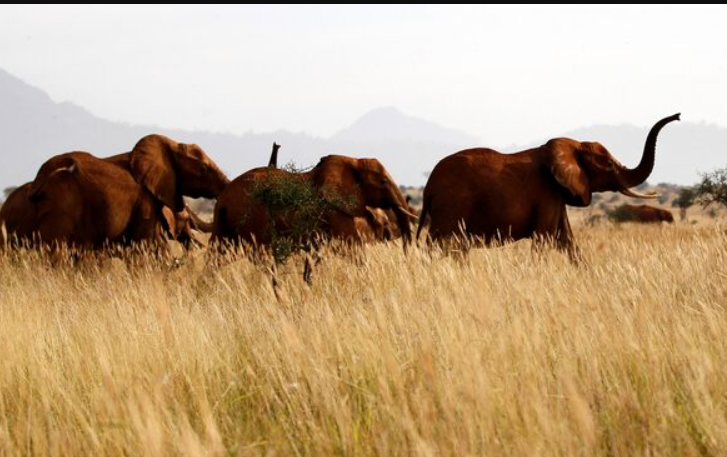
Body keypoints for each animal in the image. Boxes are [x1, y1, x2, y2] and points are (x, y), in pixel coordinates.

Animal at [212, 155, 415, 247]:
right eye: (383, 182)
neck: (353, 160)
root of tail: (222, 199)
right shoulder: (335, 210)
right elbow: (352, 247)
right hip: (254, 218)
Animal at [416, 114, 680, 259]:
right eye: (607, 164)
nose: (677, 116)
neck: (572, 146)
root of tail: (429, 187)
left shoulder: (558, 194)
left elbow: (568, 241)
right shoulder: (546, 193)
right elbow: (544, 240)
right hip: (452, 206)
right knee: (446, 246)